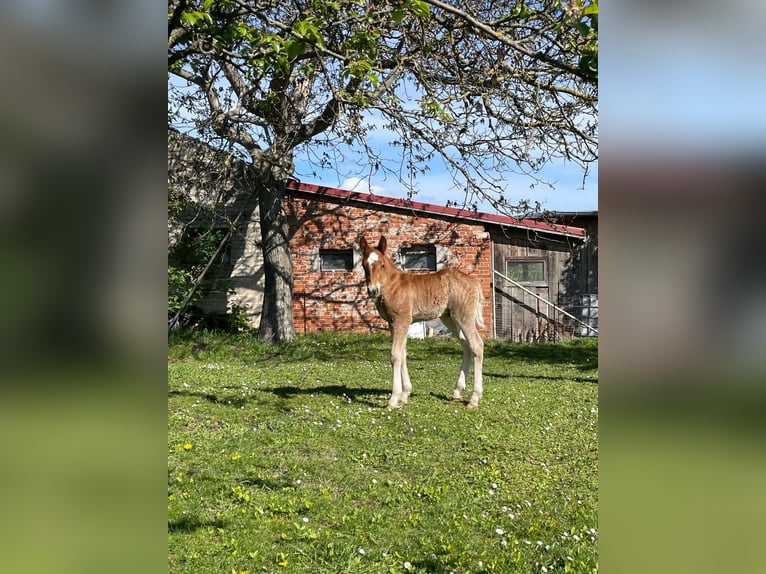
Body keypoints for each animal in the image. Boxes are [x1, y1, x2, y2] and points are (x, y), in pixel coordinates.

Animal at [360, 236, 486, 412]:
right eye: (364, 265)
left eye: (382, 265)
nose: (372, 290)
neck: (392, 285)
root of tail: (474, 281)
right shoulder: (393, 323)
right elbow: (403, 354)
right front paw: (405, 394)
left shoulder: (401, 321)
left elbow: (395, 355)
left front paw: (394, 399)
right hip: (450, 318)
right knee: (466, 346)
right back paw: (457, 391)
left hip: (464, 316)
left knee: (477, 345)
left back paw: (474, 398)